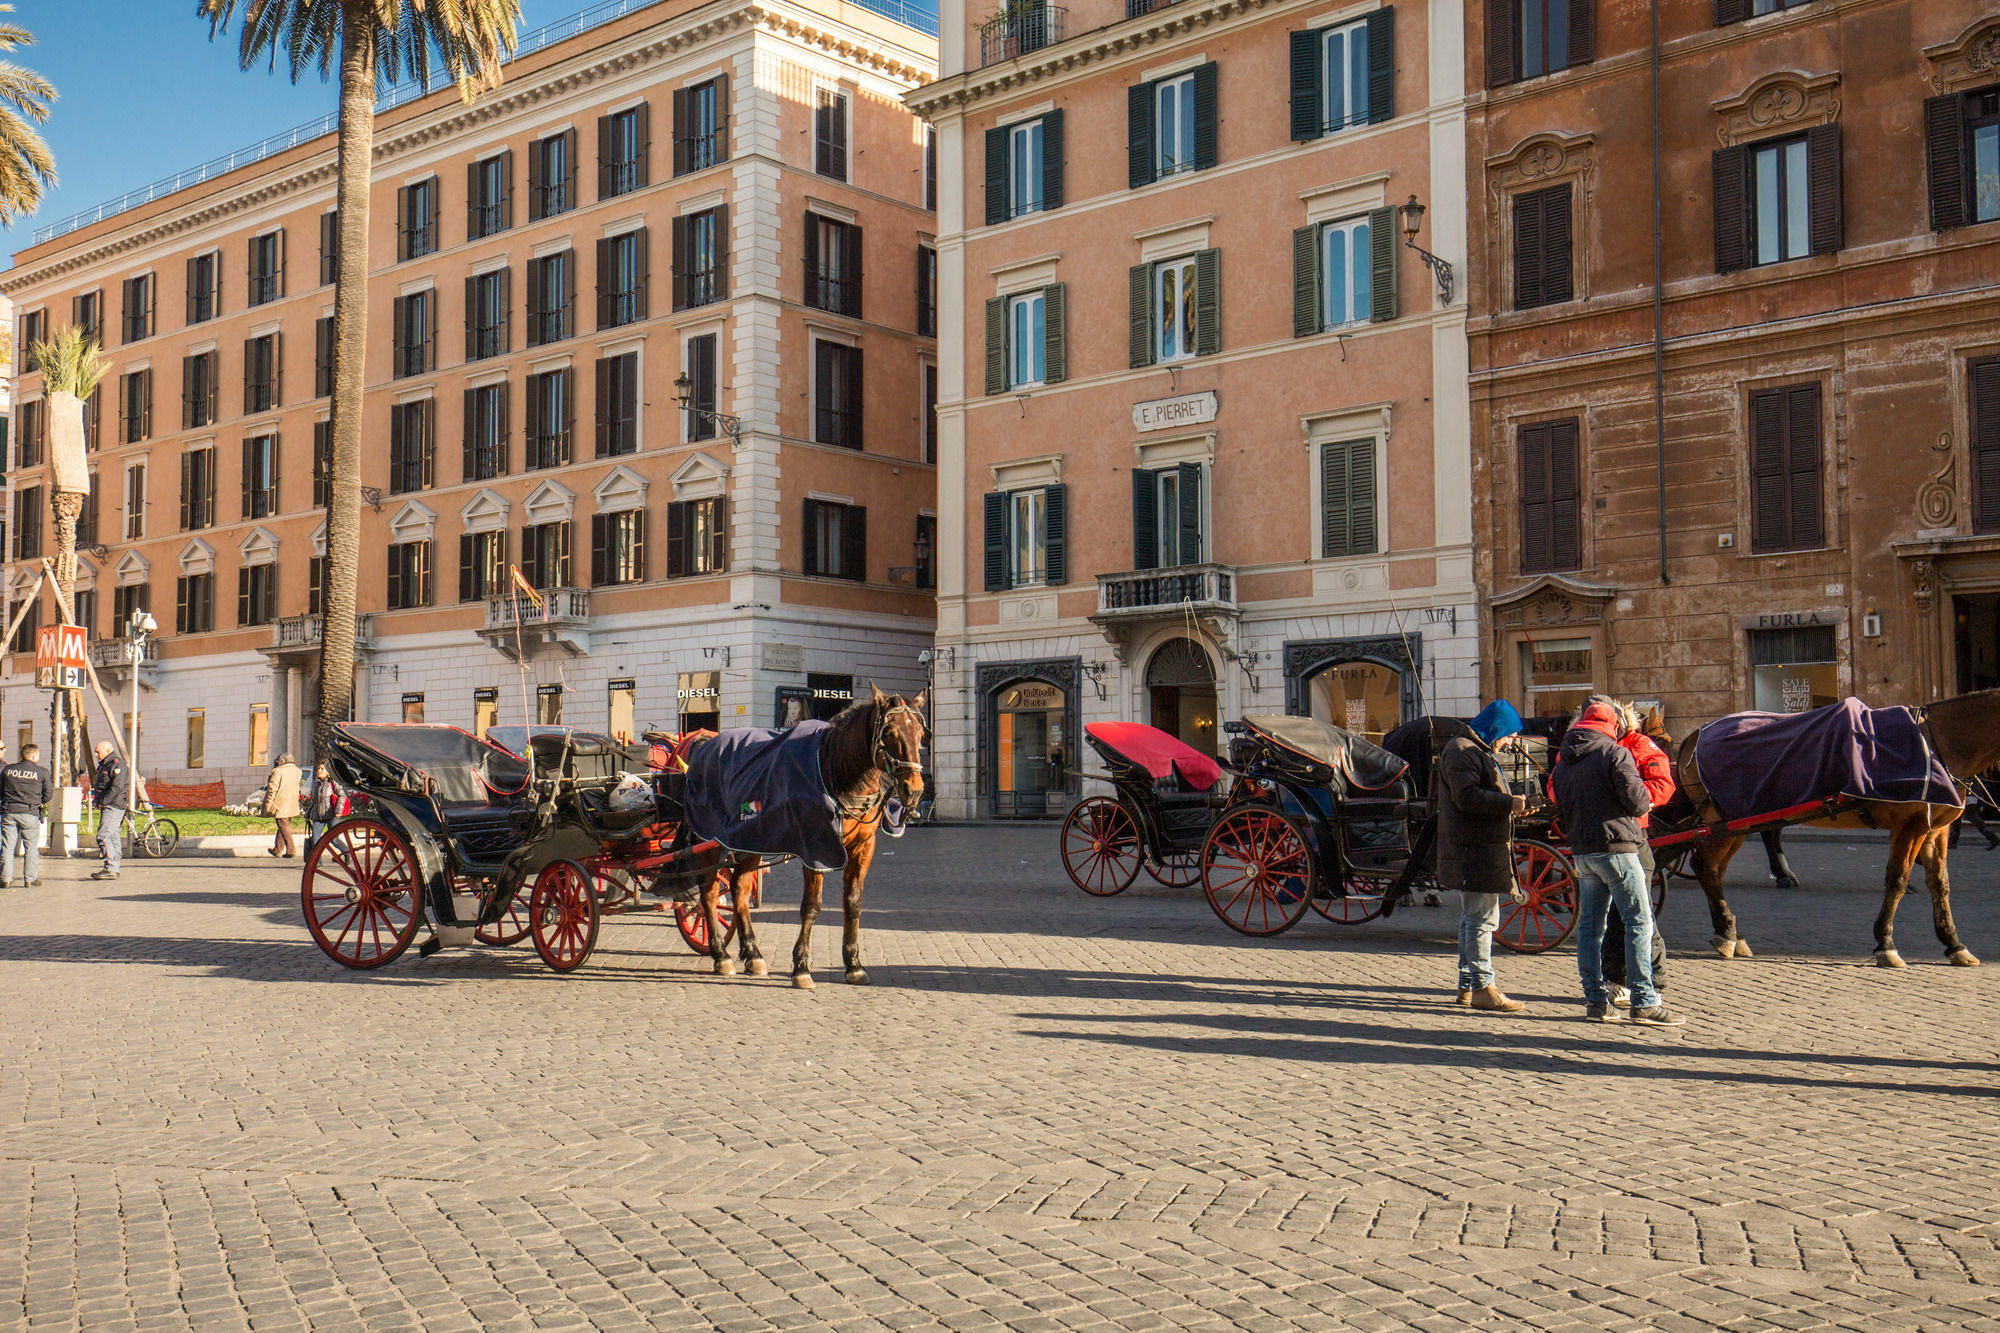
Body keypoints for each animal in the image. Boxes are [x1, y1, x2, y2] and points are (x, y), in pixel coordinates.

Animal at [684, 688, 924, 980]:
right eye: (890, 733)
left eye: (921, 733)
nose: (914, 789)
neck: (836, 771)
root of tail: (705, 745)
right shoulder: (815, 848)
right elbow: (811, 906)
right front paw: (801, 966)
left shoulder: (864, 846)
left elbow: (853, 903)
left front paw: (853, 964)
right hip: (709, 840)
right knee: (709, 891)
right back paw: (721, 954)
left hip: (750, 838)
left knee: (739, 889)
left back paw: (753, 953)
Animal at [1664, 684, 2000, 964]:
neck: (1936, 742)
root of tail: (1696, 734)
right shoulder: (1909, 825)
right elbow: (1897, 880)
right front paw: (1886, 943)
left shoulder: (1935, 828)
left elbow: (1940, 884)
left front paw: (1954, 944)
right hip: (1722, 821)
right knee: (1706, 865)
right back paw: (1728, 930)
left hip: (1735, 823)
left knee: (1715, 868)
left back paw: (1732, 930)